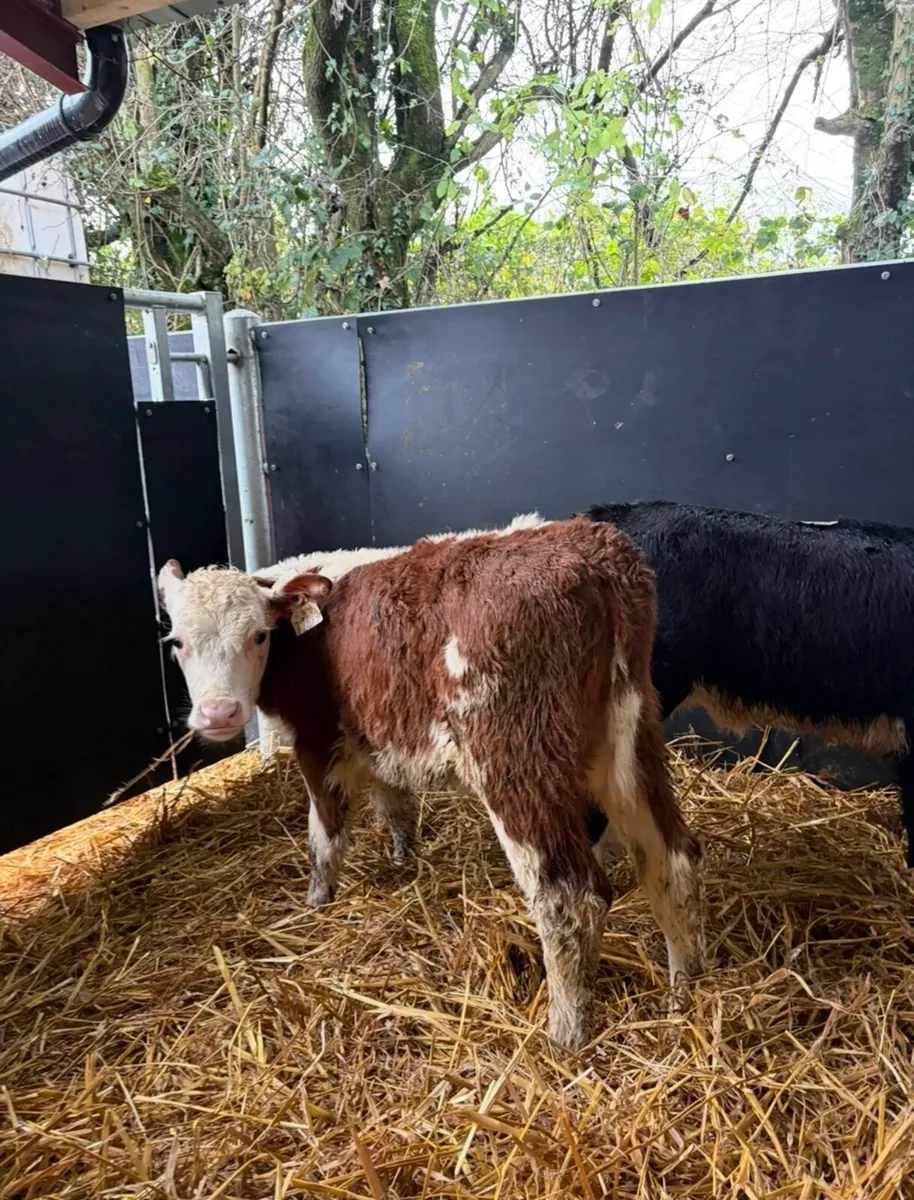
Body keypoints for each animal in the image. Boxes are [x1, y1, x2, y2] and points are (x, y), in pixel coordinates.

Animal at [157, 517, 704, 1050]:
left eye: (258, 636)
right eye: (178, 643)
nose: (219, 713)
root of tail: (590, 549)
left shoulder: (317, 741)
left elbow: (324, 837)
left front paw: (317, 903)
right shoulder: (377, 739)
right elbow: (395, 805)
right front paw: (404, 858)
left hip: (514, 761)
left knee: (570, 898)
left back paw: (564, 1035)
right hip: (629, 737)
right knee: (670, 859)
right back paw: (685, 990)